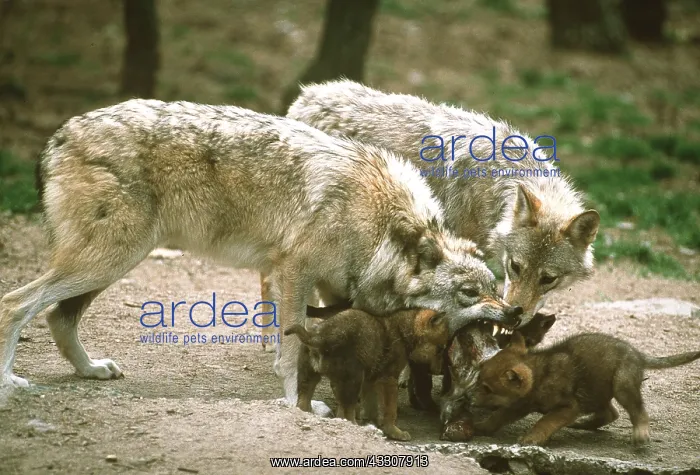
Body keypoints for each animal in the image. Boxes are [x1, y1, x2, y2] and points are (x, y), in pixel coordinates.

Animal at [1, 99, 521, 405]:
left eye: (494, 286)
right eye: (470, 293)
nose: (515, 312)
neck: (380, 221)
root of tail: (59, 134)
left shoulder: (326, 285)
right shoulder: (294, 273)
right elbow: (291, 349)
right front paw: (297, 404)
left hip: (112, 263)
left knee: (57, 317)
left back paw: (90, 370)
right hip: (108, 259)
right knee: (15, 303)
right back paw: (9, 382)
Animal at [286, 307, 450, 440]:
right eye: (440, 349)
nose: (439, 371)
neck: (404, 330)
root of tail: (318, 336)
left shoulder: (369, 380)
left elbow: (371, 404)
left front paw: (377, 424)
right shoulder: (389, 379)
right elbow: (390, 410)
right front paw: (395, 432)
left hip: (308, 379)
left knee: (304, 404)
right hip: (354, 380)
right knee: (349, 412)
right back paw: (356, 427)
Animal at [472, 332, 700, 446]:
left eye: (487, 388)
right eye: (479, 377)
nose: (469, 399)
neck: (540, 375)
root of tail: (639, 354)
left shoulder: (568, 407)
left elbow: (544, 422)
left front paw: (532, 438)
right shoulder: (518, 406)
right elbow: (497, 417)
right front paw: (480, 427)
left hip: (621, 385)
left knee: (638, 411)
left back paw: (641, 433)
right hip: (594, 393)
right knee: (611, 413)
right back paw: (584, 424)